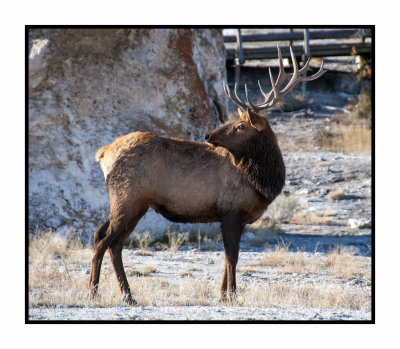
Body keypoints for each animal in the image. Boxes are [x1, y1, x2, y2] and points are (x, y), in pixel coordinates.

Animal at [89, 47, 326, 304]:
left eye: (240, 126)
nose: (208, 134)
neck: (262, 182)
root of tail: (103, 153)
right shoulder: (231, 211)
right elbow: (232, 257)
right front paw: (232, 295)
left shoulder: (235, 217)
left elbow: (228, 257)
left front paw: (222, 294)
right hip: (127, 198)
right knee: (103, 240)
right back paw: (93, 291)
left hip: (135, 204)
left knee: (111, 242)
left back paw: (128, 296)